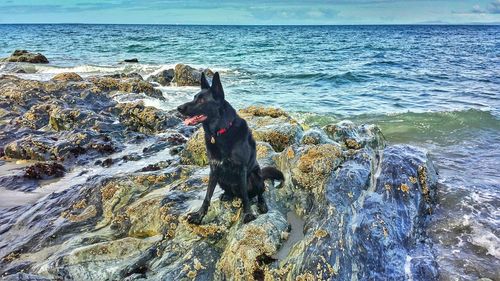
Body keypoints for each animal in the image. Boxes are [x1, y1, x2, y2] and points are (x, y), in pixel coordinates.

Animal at [178, 72, 284, 223]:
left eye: (201, 100)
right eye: (194, 97)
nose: (179, 108)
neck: (220, 132)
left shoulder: (242, 170)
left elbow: (245, 196)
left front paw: (248, 213)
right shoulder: (214, 169)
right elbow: (207, 195)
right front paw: (199, 215)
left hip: (255, 176)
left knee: (259, 192)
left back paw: (262, 204)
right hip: (222, 179)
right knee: (232, 192)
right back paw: (227, 195)